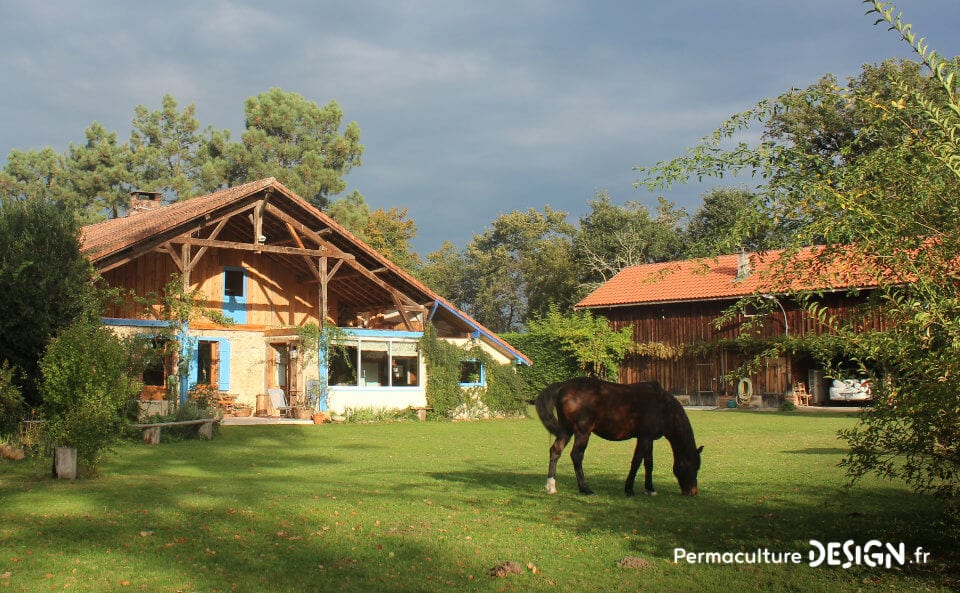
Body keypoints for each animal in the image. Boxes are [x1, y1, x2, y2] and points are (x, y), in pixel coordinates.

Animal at [536, 376, 700, 498]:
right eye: (691, 465)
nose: (693, 492)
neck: (662, 405)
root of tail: (563, 386)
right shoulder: (644, 437)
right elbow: (637, 462)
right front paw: (629, 489)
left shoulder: (648, 438)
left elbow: (648, 463)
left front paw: (650, 489)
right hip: (582, 432)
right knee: (576, 455)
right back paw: (585, 489)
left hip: (566, 430)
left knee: (555, 451)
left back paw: (551, 486)